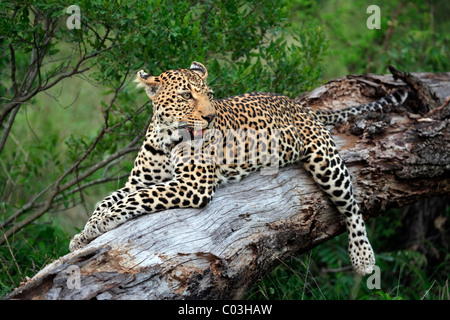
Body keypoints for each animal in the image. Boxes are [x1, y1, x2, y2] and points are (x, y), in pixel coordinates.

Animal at [69, 62, 408, 276]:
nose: (209, 117)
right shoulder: (139, 181)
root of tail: (299, 105)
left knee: (351, 204)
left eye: (209, 95)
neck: (166, 136)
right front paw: (84, 235)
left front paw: (99, 225)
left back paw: (363, 257)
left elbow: (133, 201)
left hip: (325, 162)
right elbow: (108, 199)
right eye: (186, 96)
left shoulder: (192, 186)